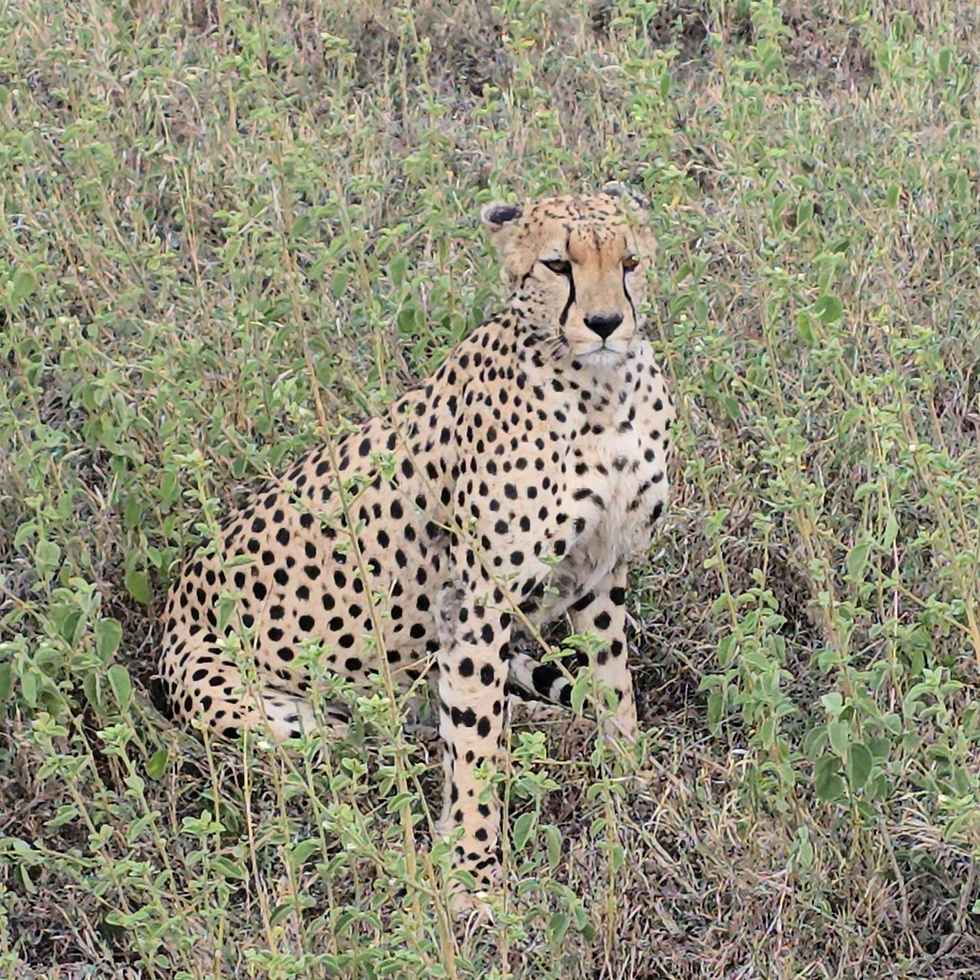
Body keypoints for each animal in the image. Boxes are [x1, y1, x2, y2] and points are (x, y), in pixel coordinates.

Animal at [156, 184, 676, 915]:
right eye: (557, 265)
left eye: (630, 261)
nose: (605, 322)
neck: (602, 393)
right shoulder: (478, 603)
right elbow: (476, 751)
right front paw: (473, 878)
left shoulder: (601, 570)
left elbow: (610, 682)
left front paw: (628, 774)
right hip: (276, 717)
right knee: (371, 744)